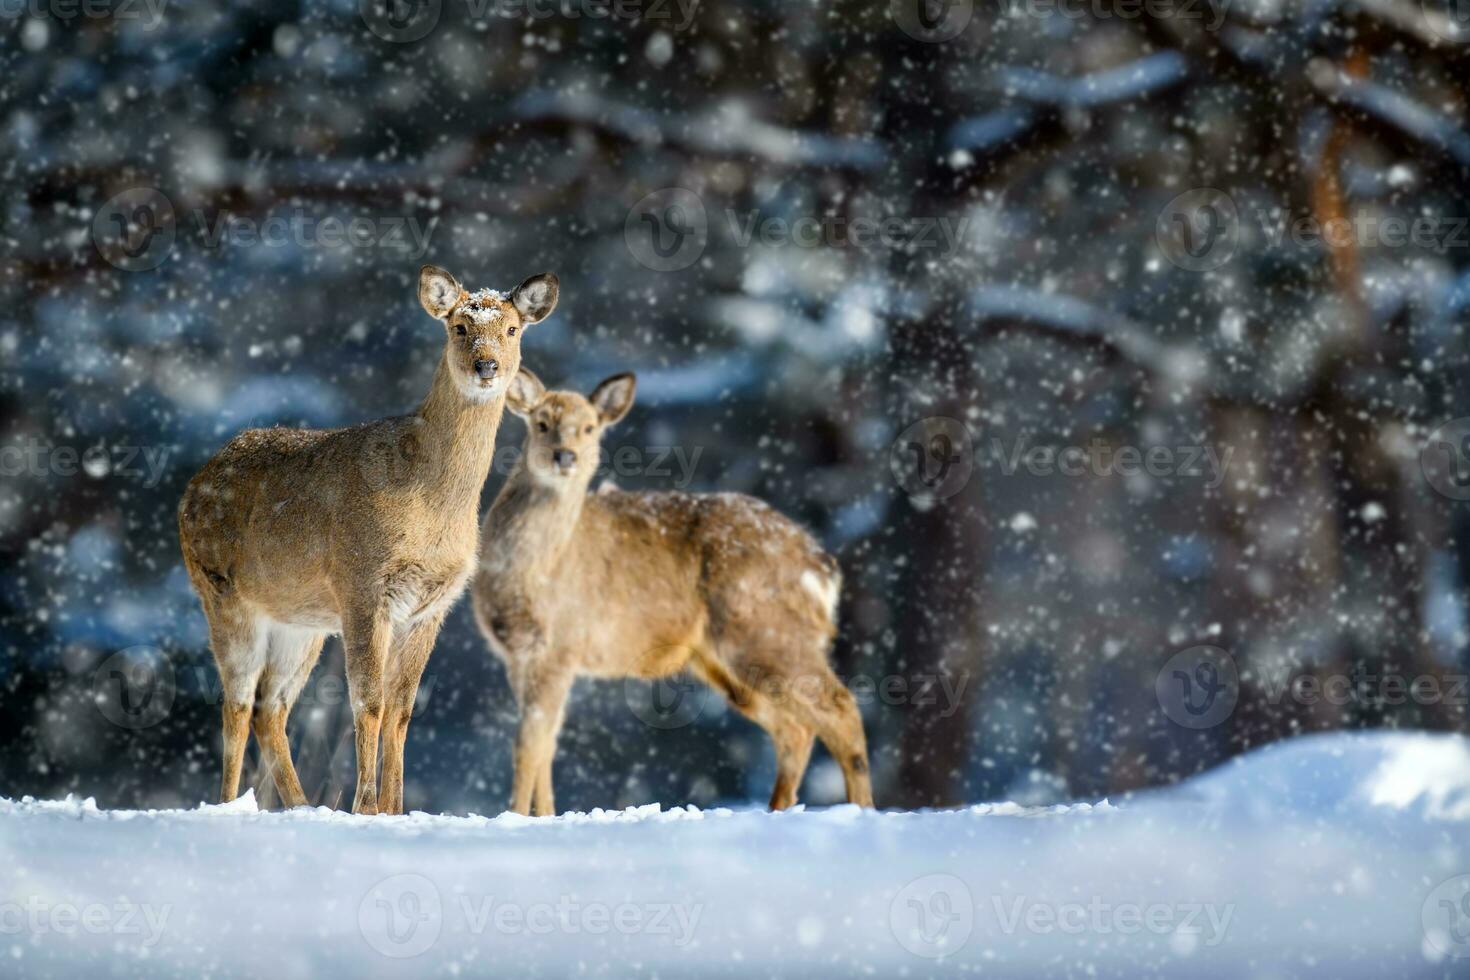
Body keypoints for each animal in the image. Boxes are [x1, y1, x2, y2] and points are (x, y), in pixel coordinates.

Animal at [177, 265, 555, 811]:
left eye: (512, 329)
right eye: (459, 326)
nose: (486, 365)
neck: (433, 511)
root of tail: (192, 487)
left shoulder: (430, 606)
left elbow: (401, 708)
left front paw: (396, 809)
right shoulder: (362, 584)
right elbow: (369, 702)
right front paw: (367, 806)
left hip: (300, 621)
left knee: (272, 707)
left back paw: (302, 806)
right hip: (222, 594)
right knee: (238, 703)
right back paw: (230, 805)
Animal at [470, 371, 870, 816]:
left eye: (590, 427)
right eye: (541, 423)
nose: (565, 456)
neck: (532, 570)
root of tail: (820, 564)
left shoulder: (561, 645)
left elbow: (529, 744)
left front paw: (514, 815)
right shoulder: (518, 655)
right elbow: (546, 744)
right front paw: (545, 815)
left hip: (766, 629)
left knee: (840, 706)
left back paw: (862, 808)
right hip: (724, 660)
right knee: (794, 728)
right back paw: (778, 809)